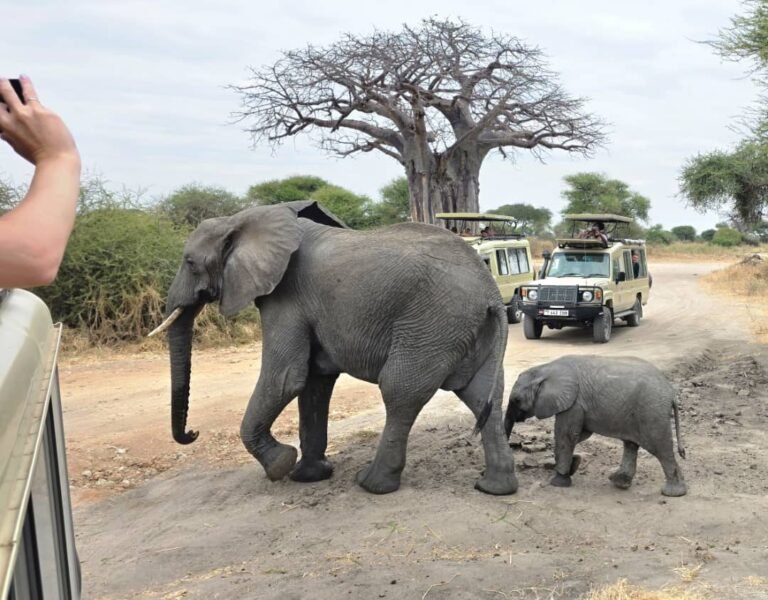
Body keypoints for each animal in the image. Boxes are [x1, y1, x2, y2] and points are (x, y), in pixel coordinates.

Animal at [152, 200, 517, 495]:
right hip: (465, 329)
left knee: (400, 392)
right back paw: (494, 488)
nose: (193, 432)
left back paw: (371, 484)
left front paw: (281, 465)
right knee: (483, 394)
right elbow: (313, 382)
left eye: (190, 262)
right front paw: (307, 476)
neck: (246, 217)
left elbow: (286, 377)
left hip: (431, 324)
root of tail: (491, 294)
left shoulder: (286, 297)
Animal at [504, 355, 687, 497]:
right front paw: (574, 464)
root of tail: (671, 393)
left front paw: (559, 481)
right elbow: (579, 435)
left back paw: (672, 493)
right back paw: (619, 482)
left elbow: (566, 435)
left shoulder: (574, 404)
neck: (546, 368)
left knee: (660, 448)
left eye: (516, 400)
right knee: (631, 444)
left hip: (651, 411)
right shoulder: (577, 405)